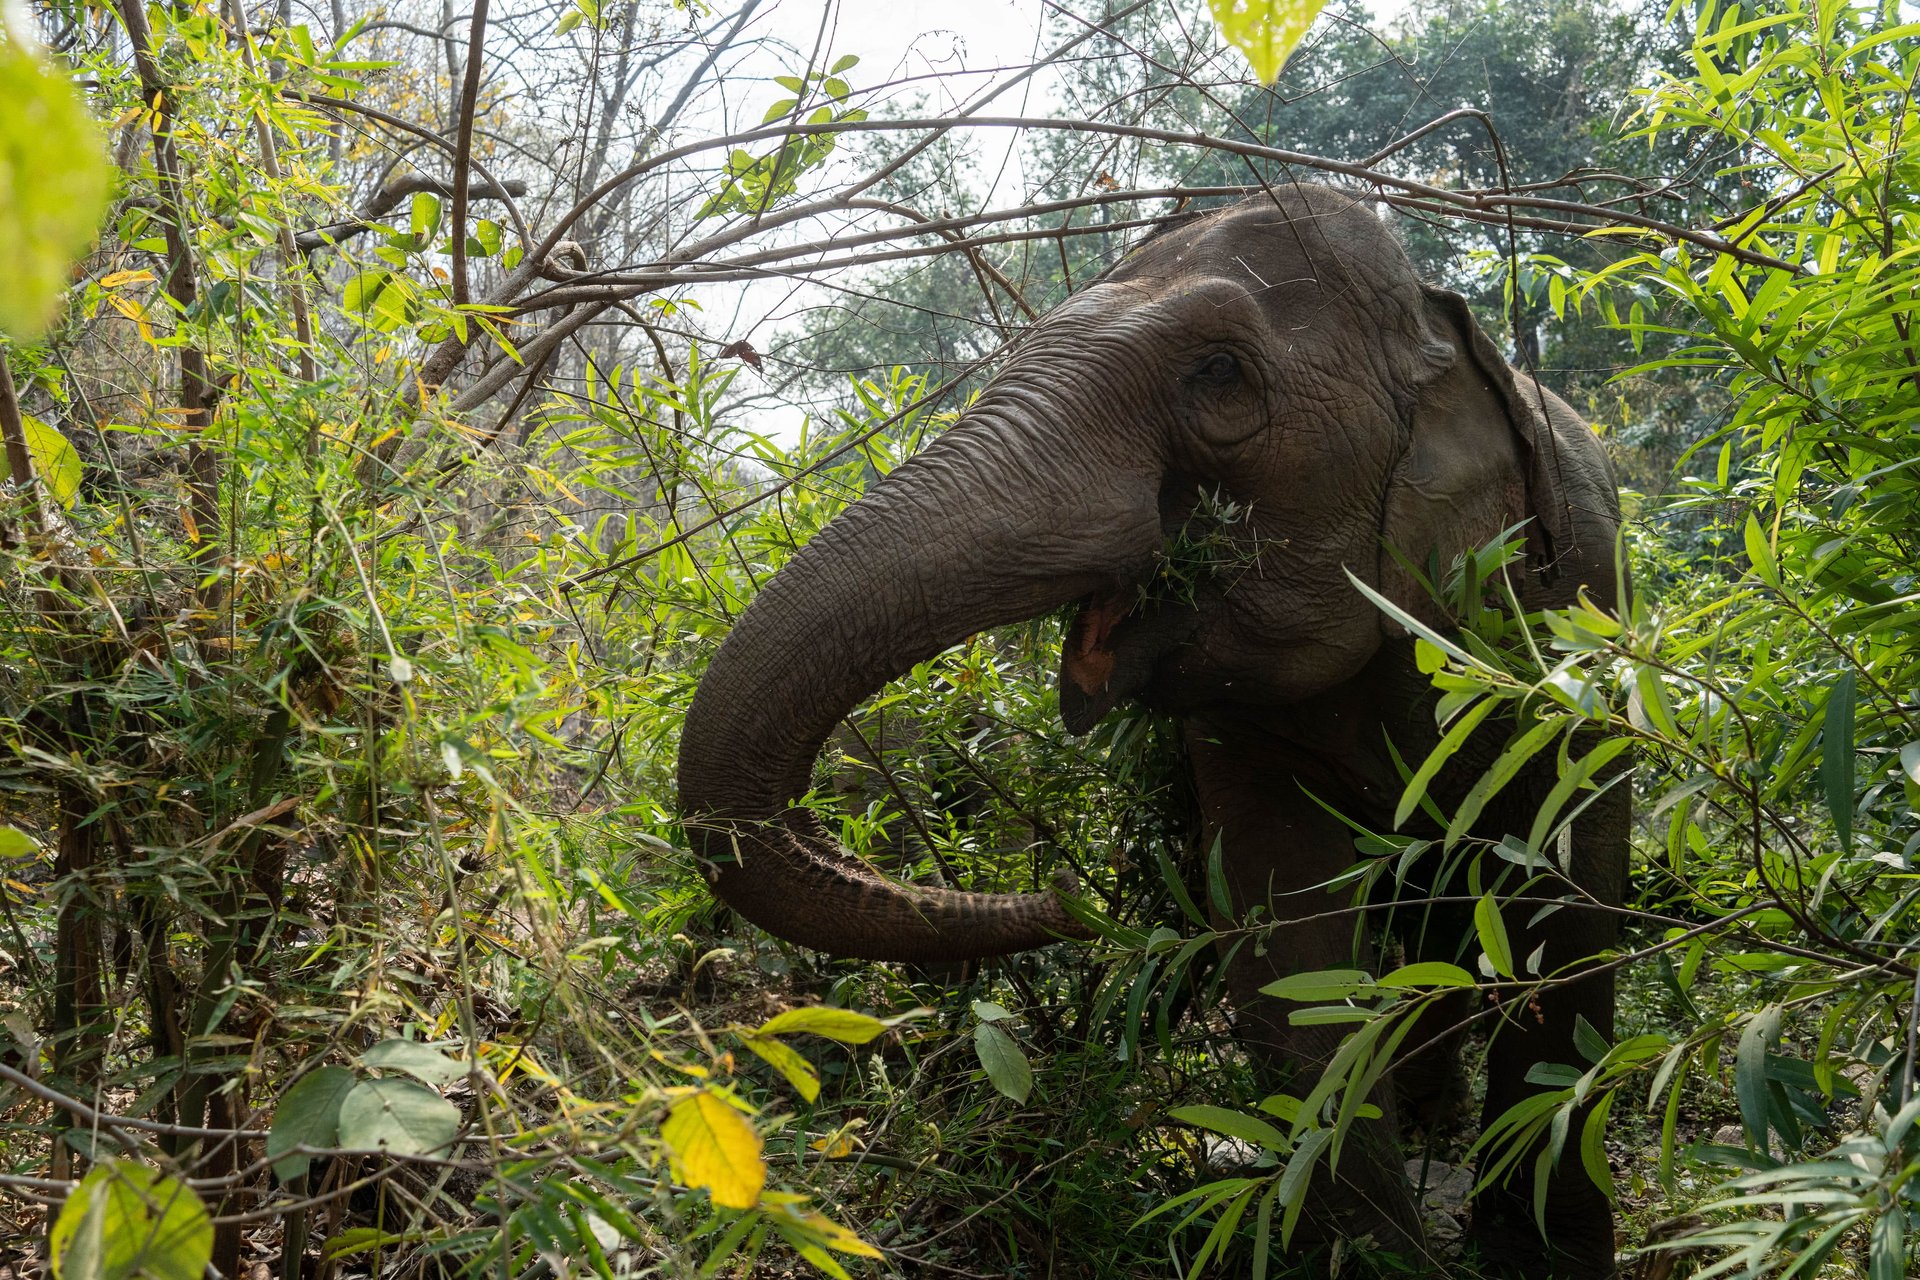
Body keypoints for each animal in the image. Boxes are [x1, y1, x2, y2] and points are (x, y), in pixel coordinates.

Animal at [677, 184, 1627, 1278]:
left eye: (1217, 372)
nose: (1069, 894)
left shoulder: (1573, 611)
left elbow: (1570, 898)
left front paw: (1530, 1256)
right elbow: (1285, 935)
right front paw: (1374, 1256)